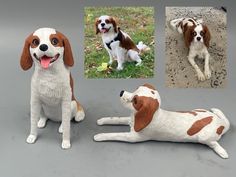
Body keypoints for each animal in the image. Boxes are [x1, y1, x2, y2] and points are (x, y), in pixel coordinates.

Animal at [94, 83, 230, 158]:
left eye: (135, 101)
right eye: (136, 89)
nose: (121, 92)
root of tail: (221, 123)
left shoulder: (133, 137)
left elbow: (115, 134)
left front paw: (99, 136)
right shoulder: (131, 120)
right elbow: (116, 119)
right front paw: (102, 120)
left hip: (204, 137)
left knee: (214, 143)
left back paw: (222, 152)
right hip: (200, 110)